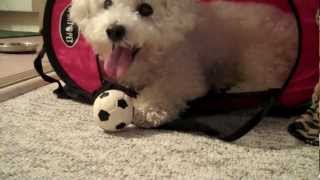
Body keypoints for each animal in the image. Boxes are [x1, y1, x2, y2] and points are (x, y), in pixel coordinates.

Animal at [70, 0, 298, 128]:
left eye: (145, 9)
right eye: (107, 3)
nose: (114, 30)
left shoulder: (185, 73)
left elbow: (164, 89)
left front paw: (146, 109)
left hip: (260, 54)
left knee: (268, 81)